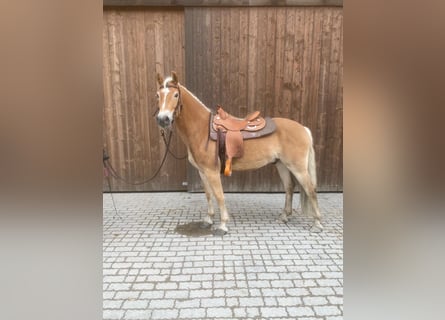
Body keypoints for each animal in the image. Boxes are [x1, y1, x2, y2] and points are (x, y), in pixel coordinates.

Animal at [154, 71, 320, 235]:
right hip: (282, 165)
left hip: (298, 168)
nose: (163, 119)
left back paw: (317, 223)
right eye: (157, 95)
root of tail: (303, 129)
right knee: (289, 188)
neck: (202, 130)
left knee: (310, 190)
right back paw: (284, 216)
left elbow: (219, 196)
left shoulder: (212, 171)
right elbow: (208, 195)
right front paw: (208, 220)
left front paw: (222, 225)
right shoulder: (202, 171)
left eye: (176, 95)